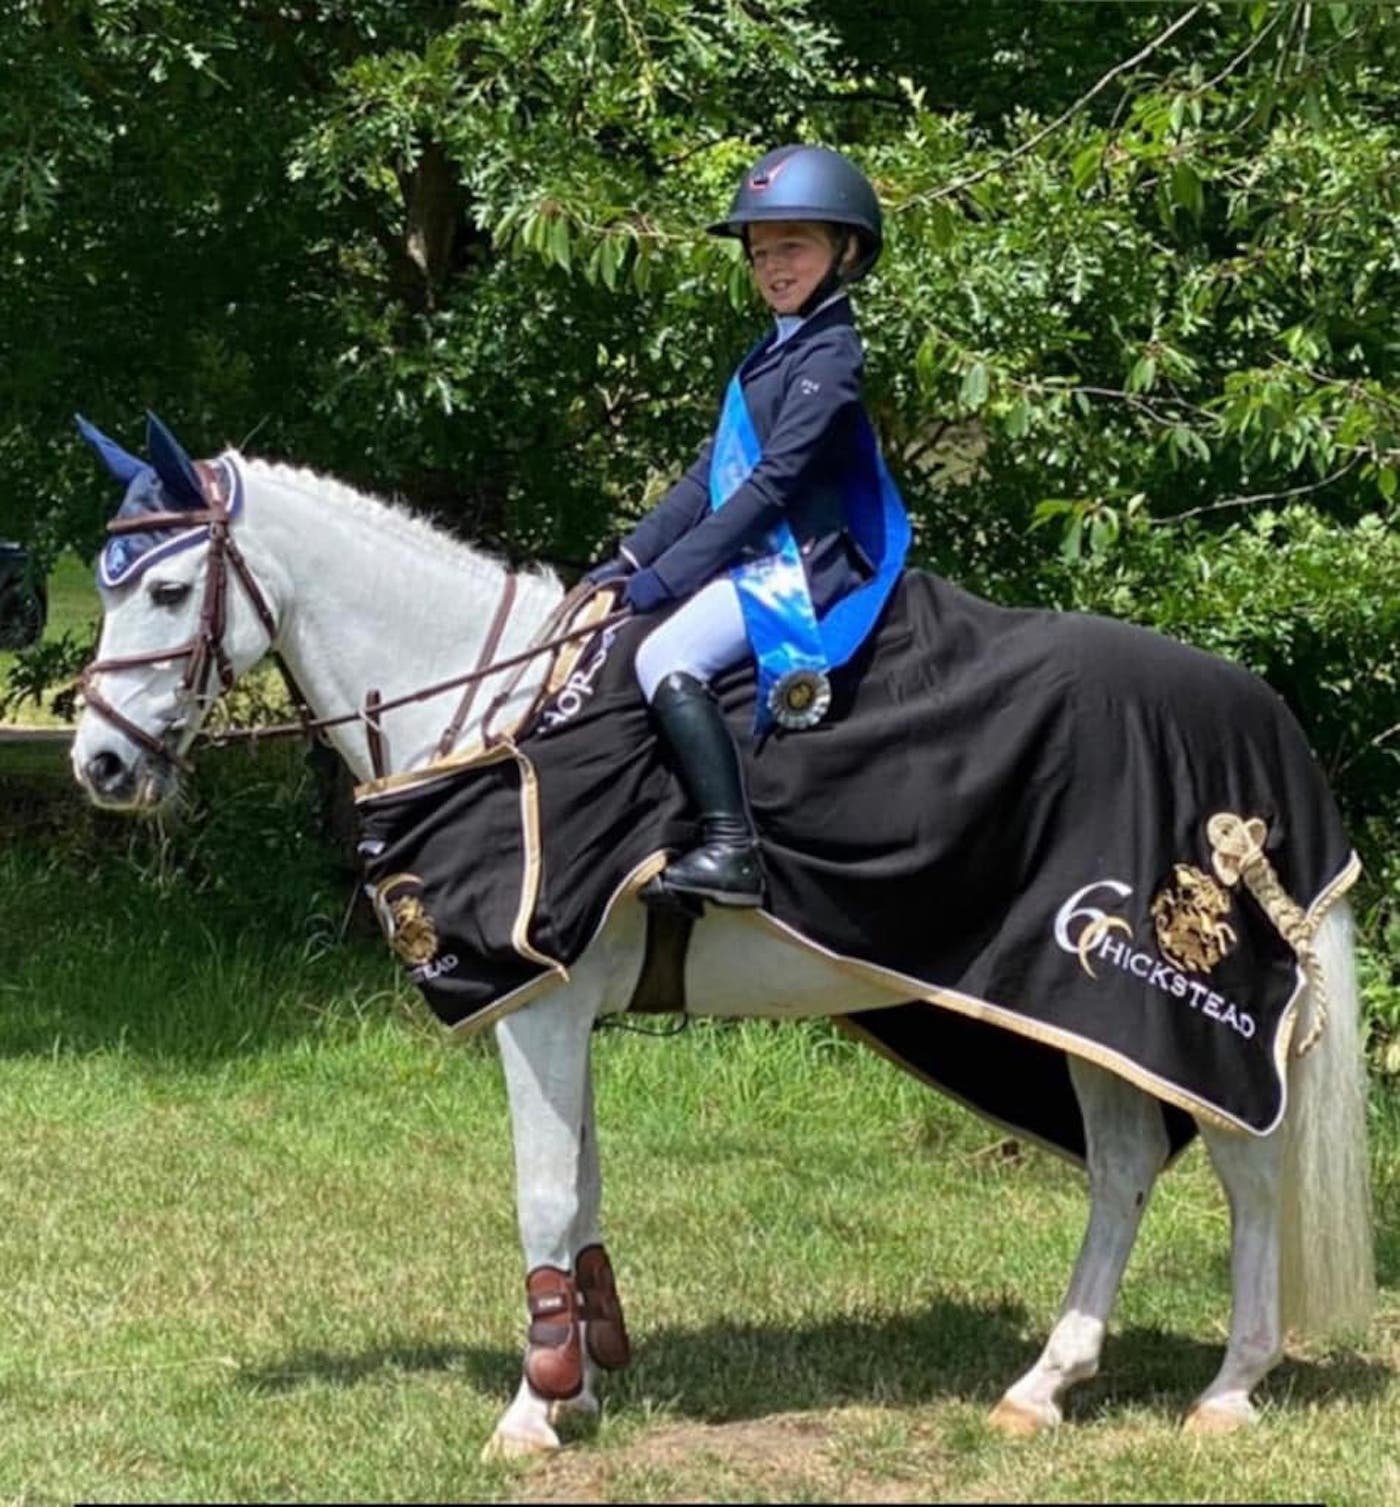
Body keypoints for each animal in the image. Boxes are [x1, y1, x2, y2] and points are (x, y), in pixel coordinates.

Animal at [71, 418, 1375, 1459]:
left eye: (170, 593)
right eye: (107, 581)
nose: (100, 766)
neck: (499, 716)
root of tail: (1259, 720)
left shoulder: (536, 1006)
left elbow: (543, 1191)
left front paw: (530, 1412)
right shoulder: (565, 1013)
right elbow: (583, 1186)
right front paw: (582, 1381)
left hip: (1159, 1011)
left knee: (1243, 1168)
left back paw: (1228, 1387)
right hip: (1078, 1017)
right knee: (1124, 1167)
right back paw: (1043, 1384)